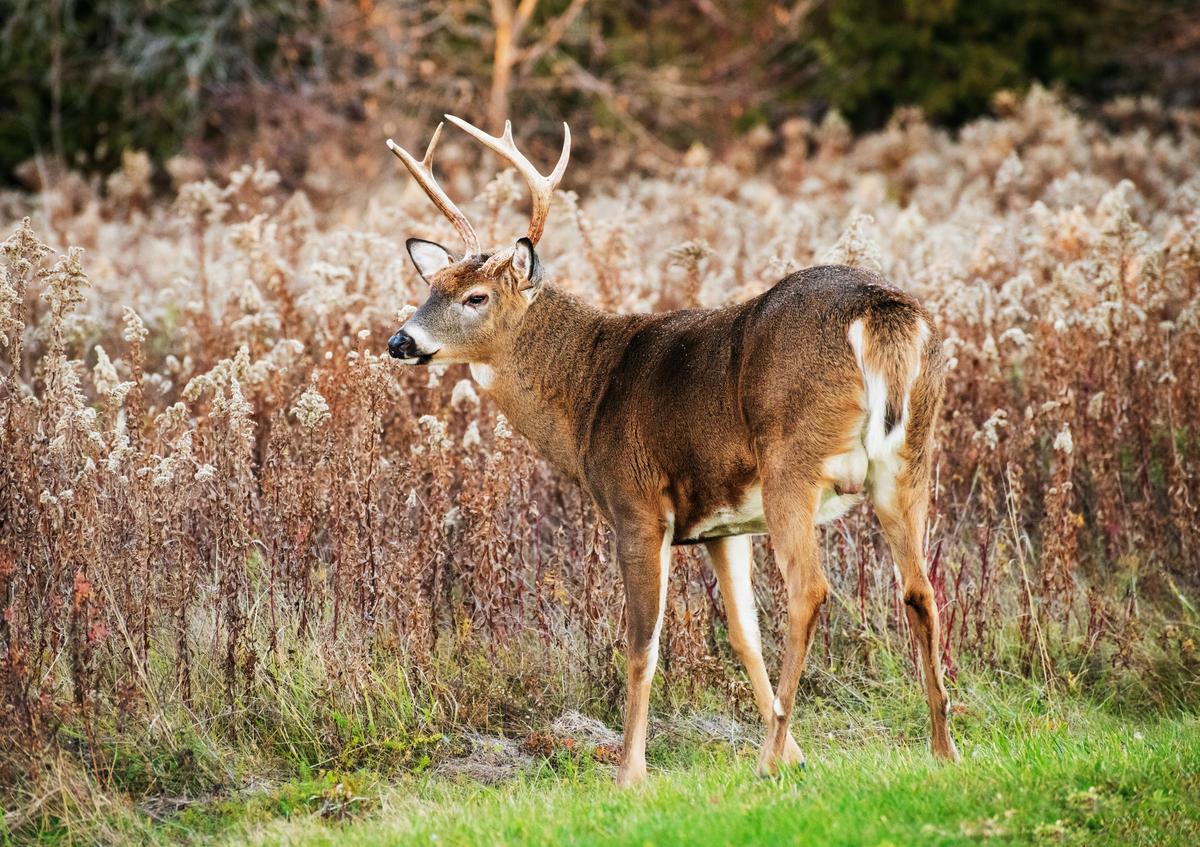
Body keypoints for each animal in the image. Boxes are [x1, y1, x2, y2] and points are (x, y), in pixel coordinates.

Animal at [384, 115, 959, 786]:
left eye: (475, 297)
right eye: (431, 285)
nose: (400, 341)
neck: (589, 396)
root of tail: (881, 311)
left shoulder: (636, 504)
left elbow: (641, 644)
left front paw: (630, 771)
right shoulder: (723, 525)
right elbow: (741, 634)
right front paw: (797, 753)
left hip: (794, 459)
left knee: (809, 590)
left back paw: (767, 762)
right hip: (910, 457)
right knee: (920, 590)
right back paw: (942, 750)